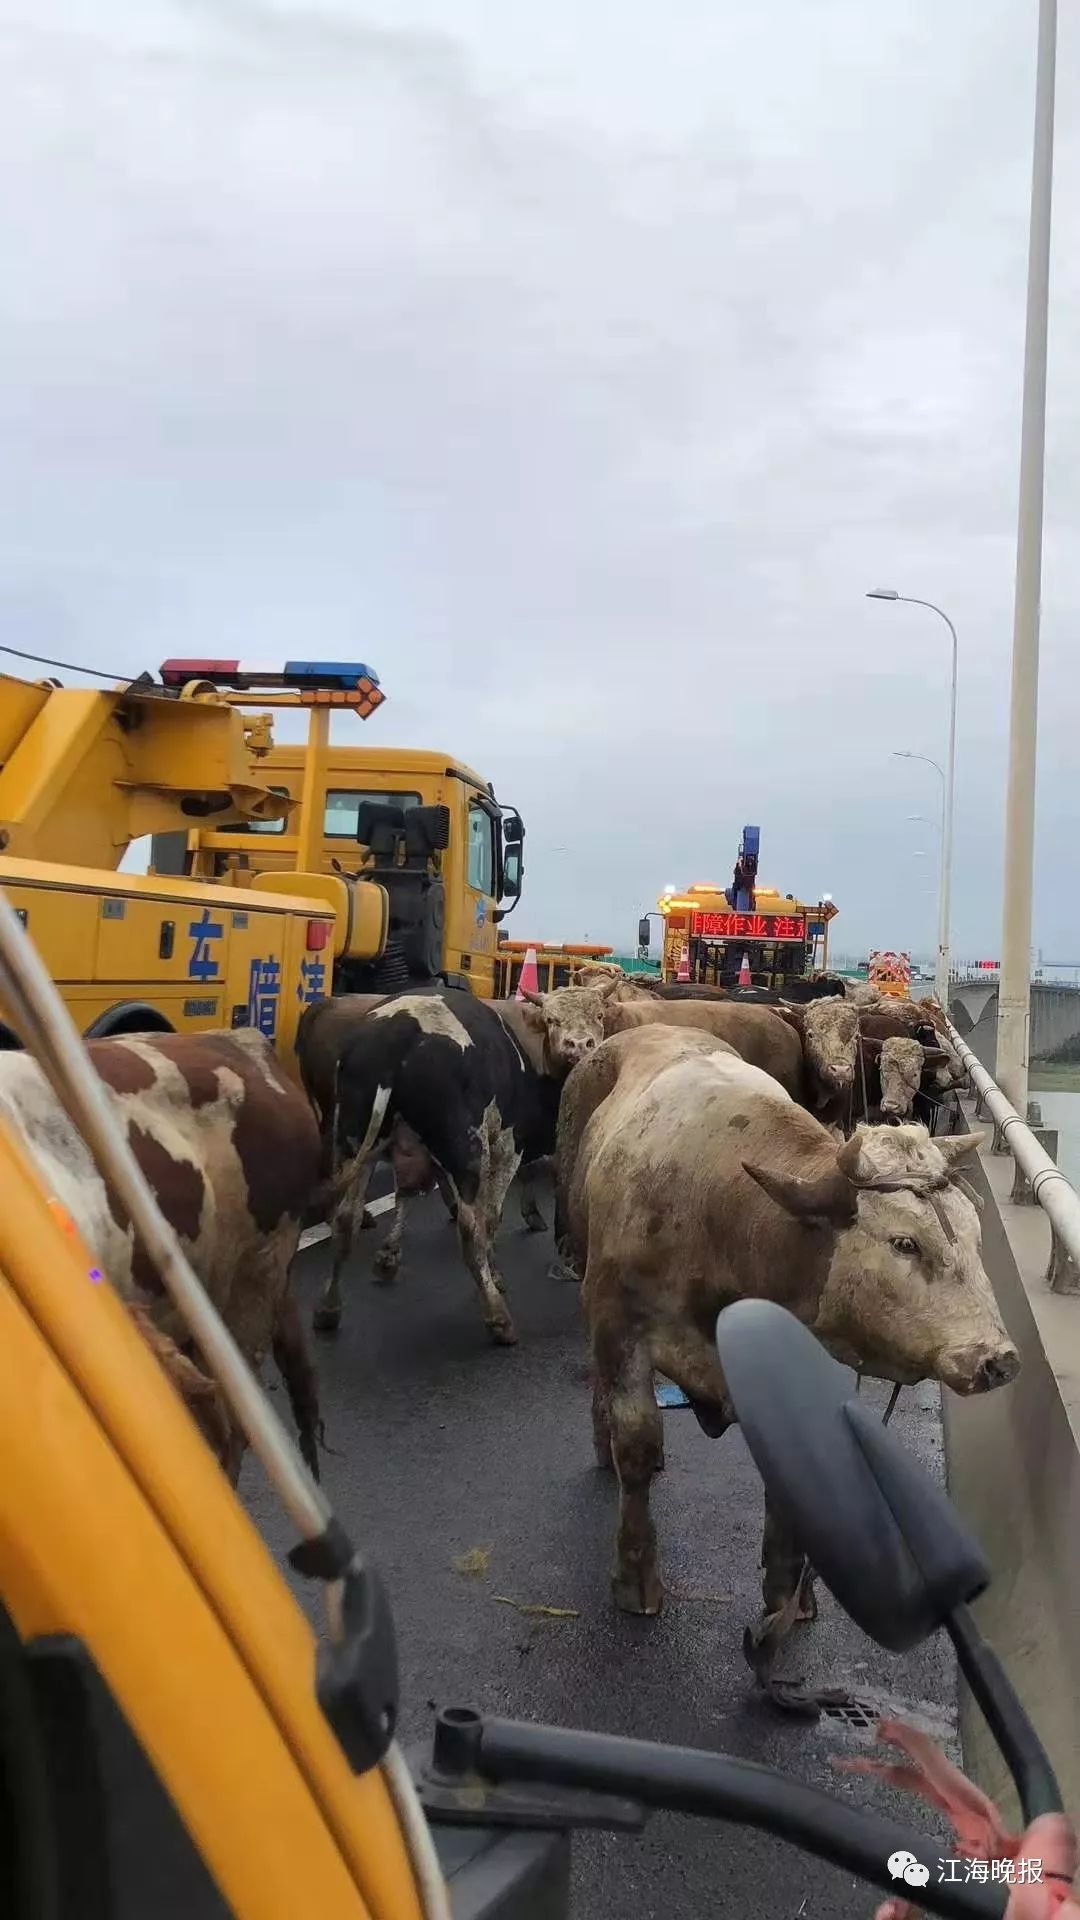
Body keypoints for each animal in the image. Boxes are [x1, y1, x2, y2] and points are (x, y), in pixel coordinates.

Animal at [311, 983, 607, 1344]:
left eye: (598, 1015)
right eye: (552, 1019)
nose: (579, 1045)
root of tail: (400, 1027)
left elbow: (407, 1194)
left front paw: (389, 1256)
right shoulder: (507, 1146)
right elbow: (489, 1216)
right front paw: (495, 1273)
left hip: (354, 1142)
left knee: (345, 1219)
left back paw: (328, 1308)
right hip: (467, 1149)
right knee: (469, 1228)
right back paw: (497, 1316)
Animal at [553, 1021, 1014, 1620]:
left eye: (975, 1237)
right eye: (905, 1243)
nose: (998, 1359)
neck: (721, 1214)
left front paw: (788, 1595)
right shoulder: (617, 1320)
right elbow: (635, 1444)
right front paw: (634, 1576)